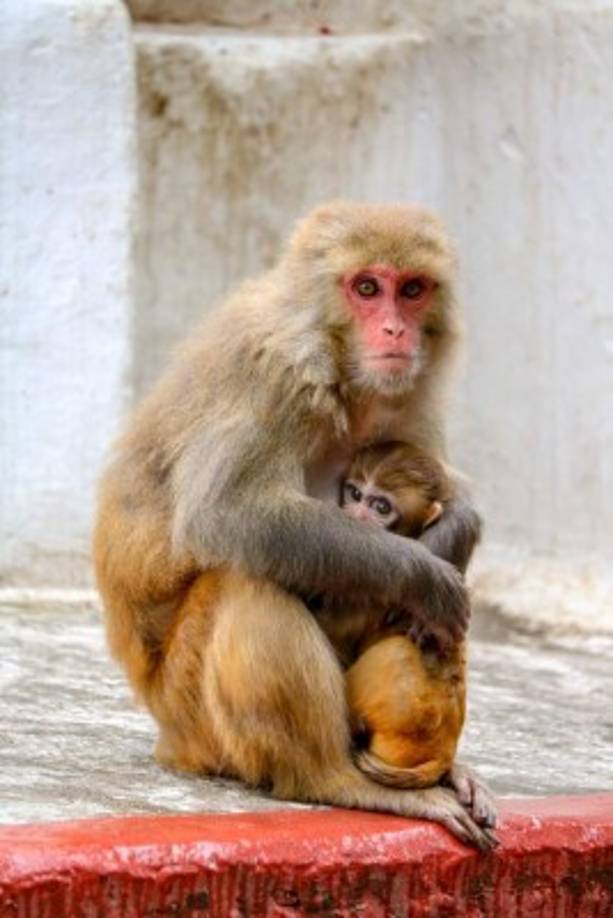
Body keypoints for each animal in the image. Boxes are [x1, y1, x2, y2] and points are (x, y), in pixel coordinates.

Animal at [315, 441, 466, 791]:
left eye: (381, 506)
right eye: (355, 494)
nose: (354, 516)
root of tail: (442, 753)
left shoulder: (369, 587)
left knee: (396, 649)